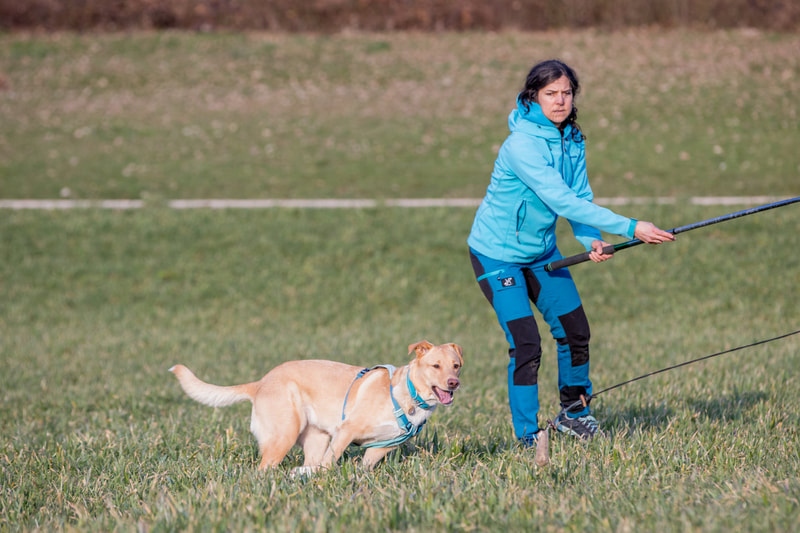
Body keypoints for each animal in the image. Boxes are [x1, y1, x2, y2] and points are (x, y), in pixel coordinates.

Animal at [172, 338, 466, 472]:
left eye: (456, 365)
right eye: (435, 366)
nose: (453, 383)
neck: (409, 396)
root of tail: (260, 383)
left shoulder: (380, 448)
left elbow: (364, 467)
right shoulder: (346, 431)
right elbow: (330, 461)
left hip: (315, 438)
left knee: (308, 460)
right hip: (284, 434)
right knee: (264, 469)